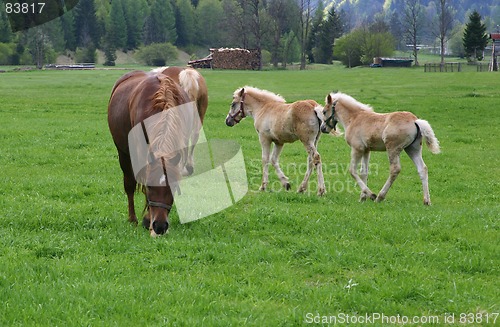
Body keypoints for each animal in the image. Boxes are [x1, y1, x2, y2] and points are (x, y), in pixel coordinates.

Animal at [108, 70, 196, 237]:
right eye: (150, 186)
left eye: (174, 186)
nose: (160, 226)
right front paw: (147, 220)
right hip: (123, 153)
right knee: (129, 184)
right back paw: (133, 219)